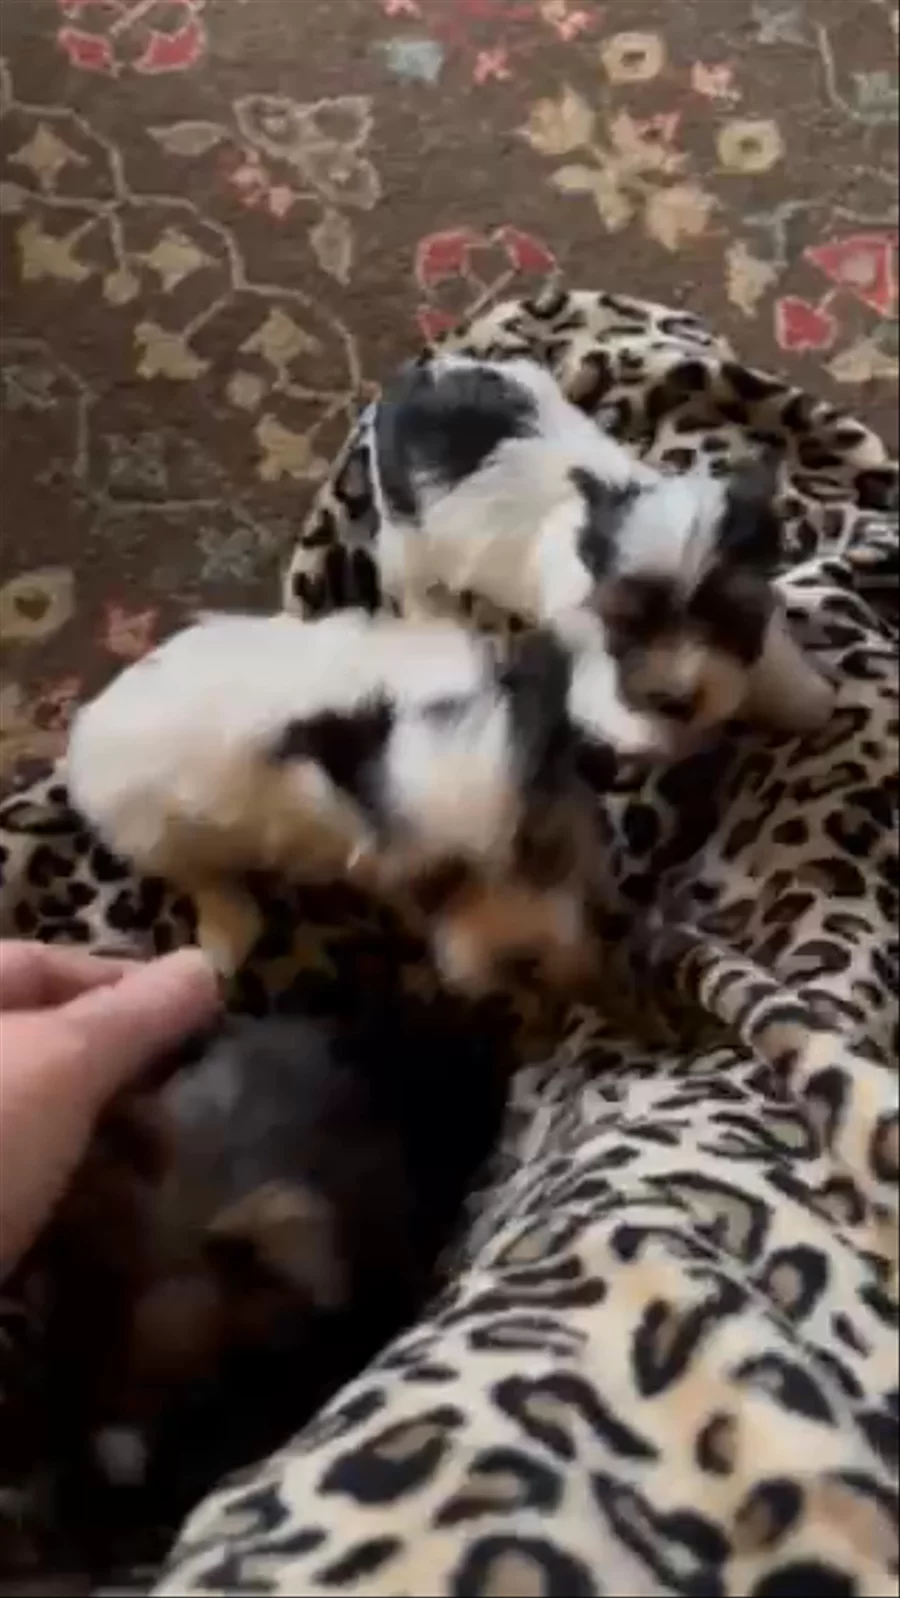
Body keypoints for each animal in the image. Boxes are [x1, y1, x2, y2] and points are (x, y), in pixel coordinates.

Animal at [66, 611, 604, 994]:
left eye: (550, 853)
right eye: (432, 887)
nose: (523, 963)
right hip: (151, 828)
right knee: (197, 873)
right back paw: (228, 925)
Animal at [369, 353, 835, 759]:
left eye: (729, 613)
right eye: (628, 623)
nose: (678, 700)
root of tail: (418, 377)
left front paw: (801, 696)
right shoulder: (592, 657)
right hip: (404, 522)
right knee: (410, 576)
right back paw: (429, 615)